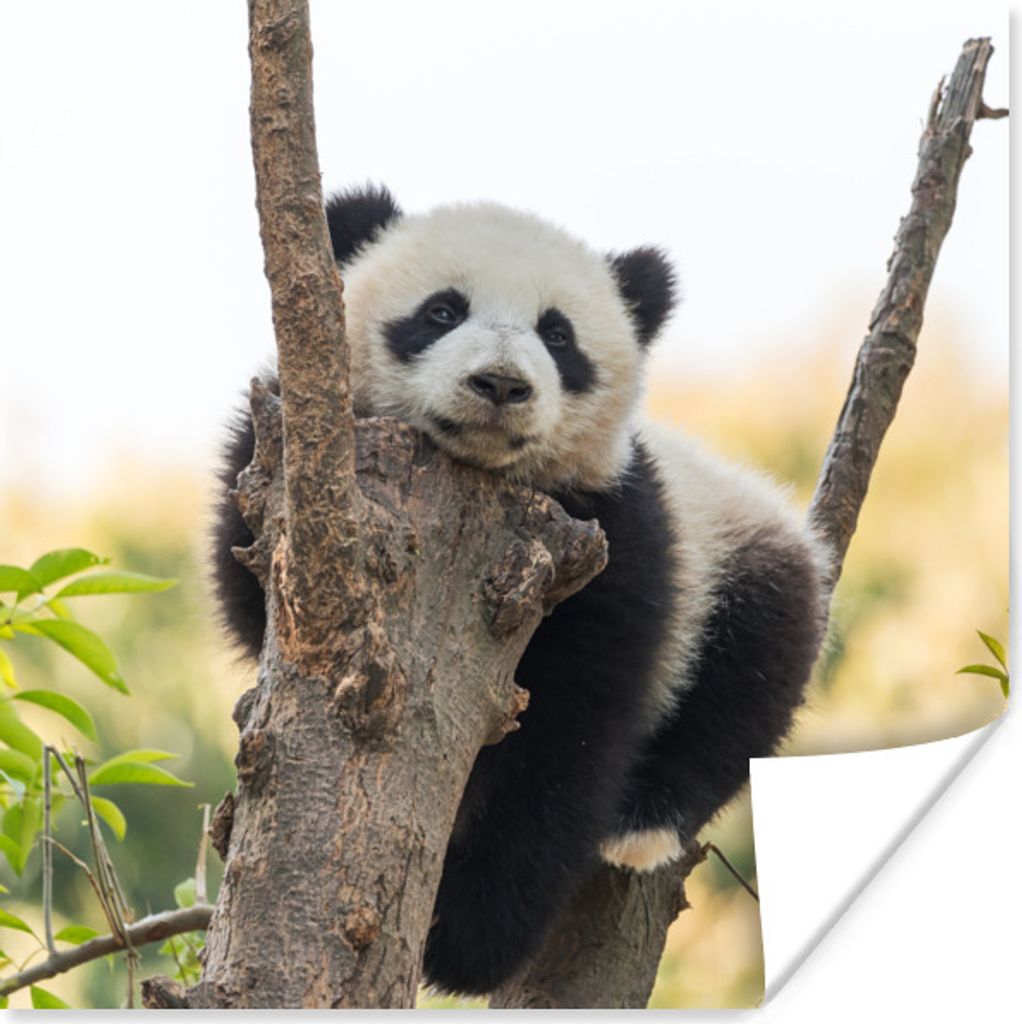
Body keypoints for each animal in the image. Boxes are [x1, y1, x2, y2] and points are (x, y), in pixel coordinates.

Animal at [212, 184, 829, 995]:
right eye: (442, 311)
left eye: (558, 335)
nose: (502, 384)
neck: (481, 477)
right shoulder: (280, 472)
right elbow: (249, 585)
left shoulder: (614, 530)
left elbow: (572, 727)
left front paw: (463, 937)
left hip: (736, 549)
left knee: (748, 674)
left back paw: (643, 823)